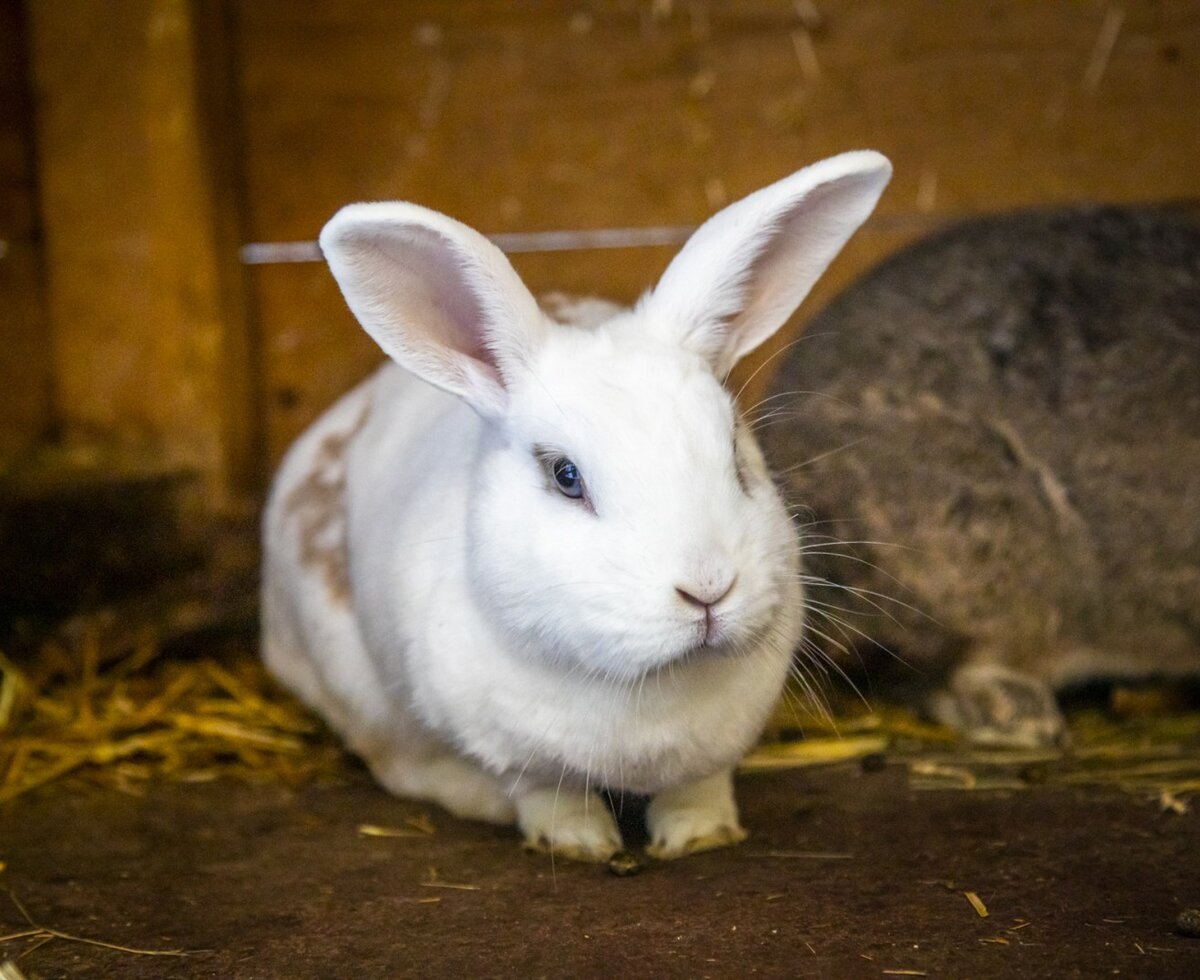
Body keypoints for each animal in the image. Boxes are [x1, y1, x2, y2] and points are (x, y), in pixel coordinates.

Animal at [261, 151, 893, 862]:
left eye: (735, 452)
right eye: (566, 477)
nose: (707, 589)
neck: (644, 691)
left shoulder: (714, 751)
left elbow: (699, 787)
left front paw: (701, 835)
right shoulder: (517, 756)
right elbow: (547, 794)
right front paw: (580, 843)